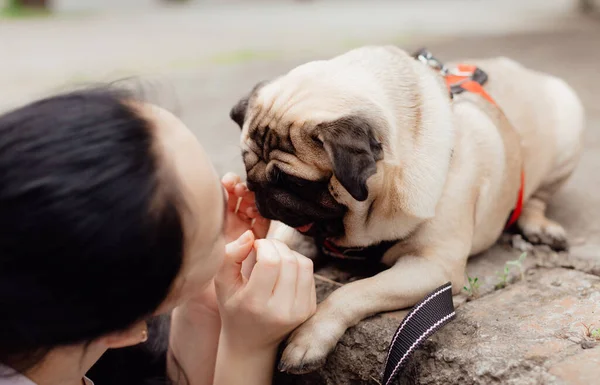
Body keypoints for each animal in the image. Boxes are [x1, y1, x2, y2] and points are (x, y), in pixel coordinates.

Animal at [230, 45, 584, 372]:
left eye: (295, 182)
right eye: (247, 166)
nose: (259, 191)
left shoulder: (432, 267)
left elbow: (353, 293)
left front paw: (309, 338)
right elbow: (280, 243)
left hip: (567, 136)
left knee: (536, 198)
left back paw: (540, 227)